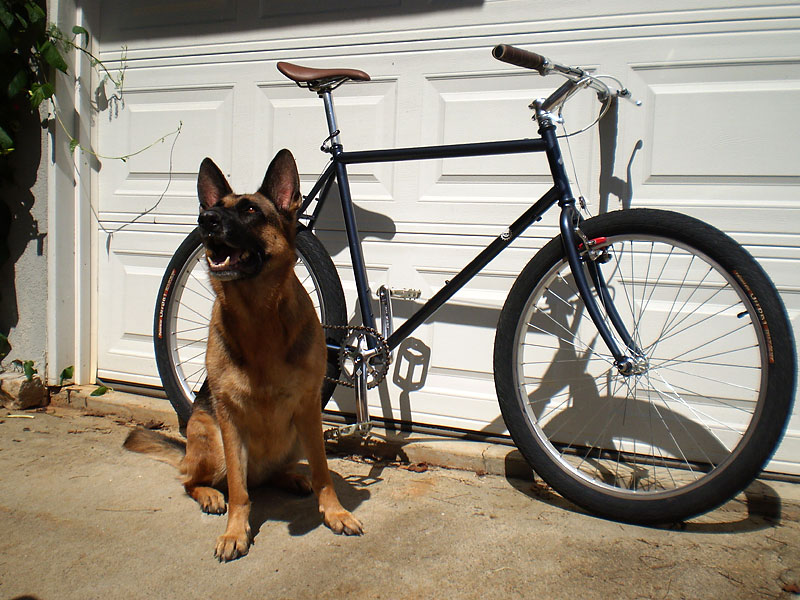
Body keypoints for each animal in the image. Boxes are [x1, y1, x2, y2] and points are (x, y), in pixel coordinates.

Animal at [125, 150, 362, 564]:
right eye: (215, 209)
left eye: (250, 210)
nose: (206, 220)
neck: (259, 318)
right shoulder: (230, 420)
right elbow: (238, 491)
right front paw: (235, 532)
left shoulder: (308, 408)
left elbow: (323, 473)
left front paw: (335, 513)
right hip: (213, 441)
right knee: (194, 480)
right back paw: (209, 494)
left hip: (297, 435)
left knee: (268, 476)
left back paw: (291, 478)